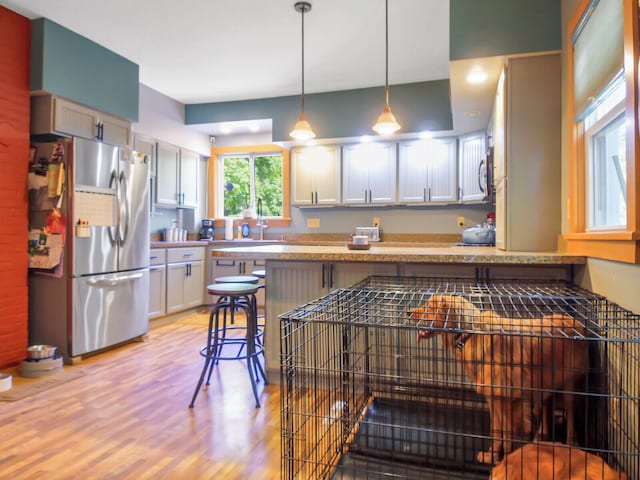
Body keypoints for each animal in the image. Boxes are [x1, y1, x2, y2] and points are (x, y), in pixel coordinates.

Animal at [408, 294, 588, 464]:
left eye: (429, 306)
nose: (407, 313)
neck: (469, 335)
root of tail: (576, 322)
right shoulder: (493, 398)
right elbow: (496, 430)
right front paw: (492, 455)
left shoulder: (509, 401)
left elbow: (508, 435)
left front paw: (506, 461)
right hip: (543, 385)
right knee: (546, 411)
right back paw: (538, 441)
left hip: (568, 387)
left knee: (571, 416)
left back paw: (571, 444)